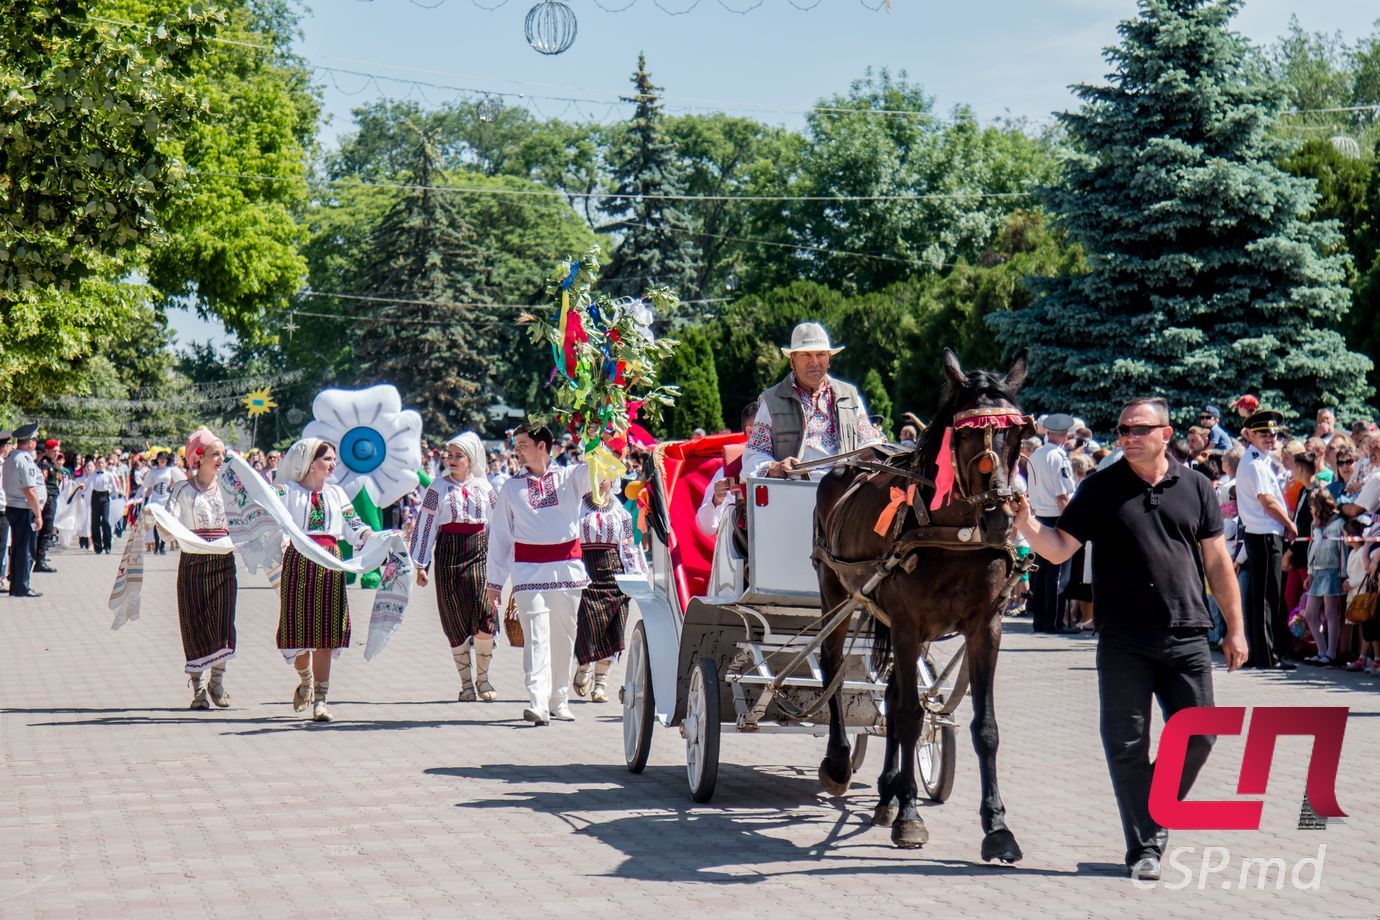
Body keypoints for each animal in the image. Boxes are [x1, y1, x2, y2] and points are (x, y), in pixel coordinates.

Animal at [811, 348, 1032, 860]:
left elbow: (983, 726)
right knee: (833, 665)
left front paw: (997, 827)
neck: (956, 535)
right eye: (965, 434)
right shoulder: (908, 624)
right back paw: (840, 763)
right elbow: (912, 716)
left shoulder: (984, 627)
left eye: (1017, 436)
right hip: (836, 590)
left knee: (892, 694)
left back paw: (888, 791)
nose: (1000, 518)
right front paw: (910, 816)